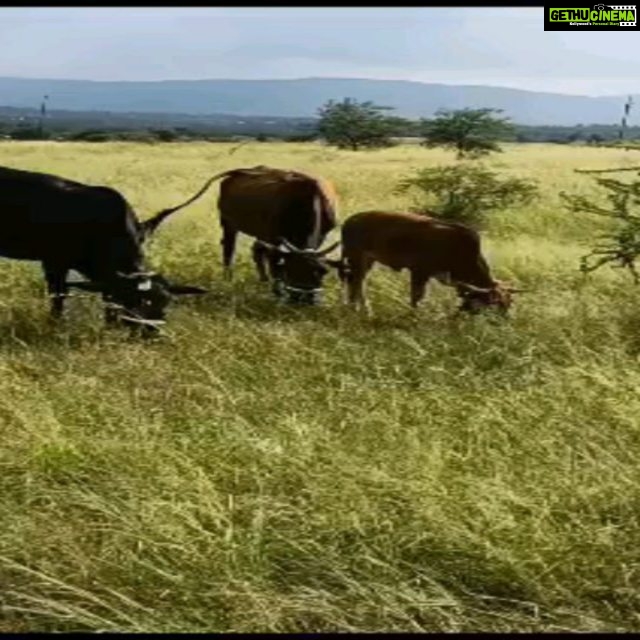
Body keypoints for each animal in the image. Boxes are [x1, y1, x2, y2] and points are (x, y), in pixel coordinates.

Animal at [0, 162, 216, 332]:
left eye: (166, 302)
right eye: (134, 302)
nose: (151, 333)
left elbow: (107, 296)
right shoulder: (55, 261)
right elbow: (58, 296)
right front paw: (56, 324)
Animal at [338, 211, 524, 314]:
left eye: (509, 303)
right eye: (495, 304)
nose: (505, 321)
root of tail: (350, 220)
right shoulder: (419, 272)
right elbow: (416, 297)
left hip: (368, 261)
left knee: (359, 282)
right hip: (356, 257)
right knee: (356, 283)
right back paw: (357, 308)